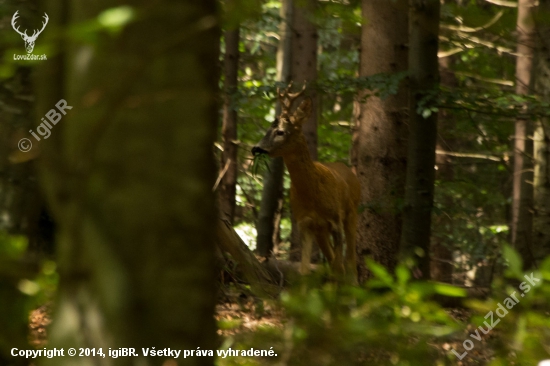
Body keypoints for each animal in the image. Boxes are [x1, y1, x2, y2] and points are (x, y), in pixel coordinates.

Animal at [253, 84, 362, 282]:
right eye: (268, 129)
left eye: (280, 131)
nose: (256, 148)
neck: (312, 194)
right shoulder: (305, 223)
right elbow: (304, 271)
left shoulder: (335, 220)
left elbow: (339, 267)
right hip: (321, 230)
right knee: (334, 261)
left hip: (351, 212)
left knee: (349, 261)